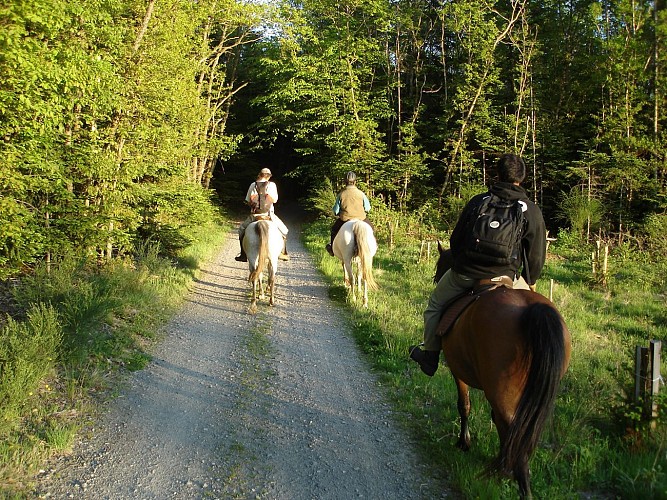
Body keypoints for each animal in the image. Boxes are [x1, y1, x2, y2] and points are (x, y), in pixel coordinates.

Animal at [436, 241, 572, 496]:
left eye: (439, 266)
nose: (436, 277)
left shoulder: (457, 371)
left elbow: (464, 405)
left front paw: (464, 442)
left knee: (510, 428)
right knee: (519, 432)